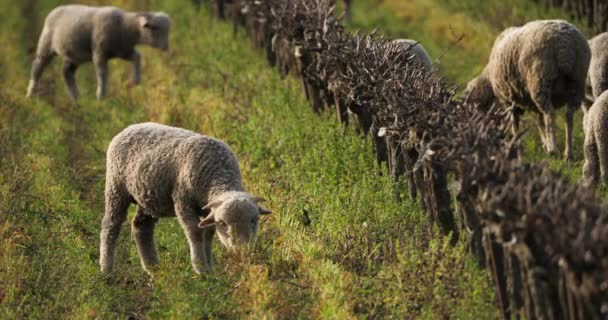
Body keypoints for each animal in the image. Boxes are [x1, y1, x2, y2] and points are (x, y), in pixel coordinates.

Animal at [25, 5, 171, 100]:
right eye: (154, 28)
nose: (166, 47)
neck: (125, 27)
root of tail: (55, 9)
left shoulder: (123, 50)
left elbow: (137, 57)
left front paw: (133, 82)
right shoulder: (99, 52)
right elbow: (102, 73)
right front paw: (101, 96)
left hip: (72, 54)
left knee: (67, 73)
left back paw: (76, 99)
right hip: (46, 43)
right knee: (38, 66)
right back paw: (31, 94)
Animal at [101, 122, 272, 276]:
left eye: (255, 220)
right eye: (223, 223)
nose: (242, 250)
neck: (218, 171)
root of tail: (129, 128)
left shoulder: (208, 209)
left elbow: (208, 233)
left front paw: (209, 266)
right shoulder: (183, 201)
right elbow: (195, 233)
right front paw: (200, 268)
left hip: (148, 197)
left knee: (141, 227)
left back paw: (153, 268)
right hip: (116, 188)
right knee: (110, 225)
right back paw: (107, 269)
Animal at [466, 19, 588, 160]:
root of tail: (565, 46)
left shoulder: (509, 100)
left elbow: (515, 123)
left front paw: (516, 144)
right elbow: (540, 122)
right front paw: (544, 143)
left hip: (541, 80)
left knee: (550, 114)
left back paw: (553, 149)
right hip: (577, 82)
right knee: (568, 117)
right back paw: (568, 153)